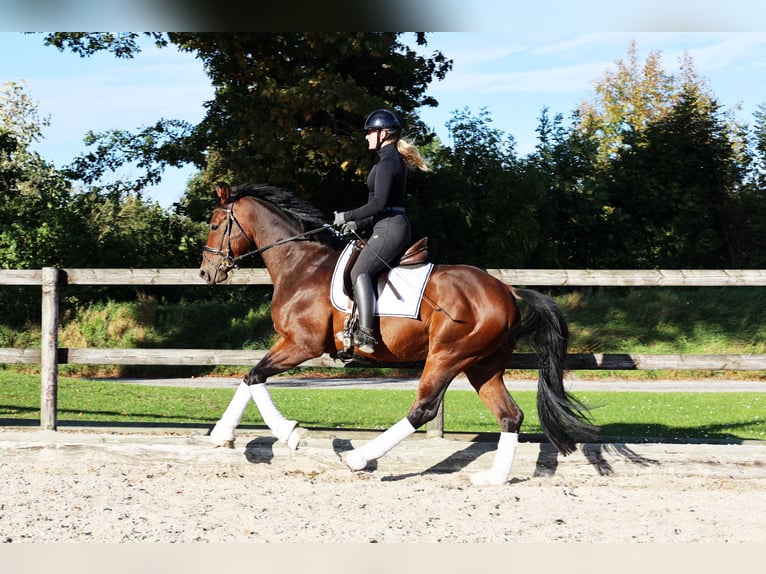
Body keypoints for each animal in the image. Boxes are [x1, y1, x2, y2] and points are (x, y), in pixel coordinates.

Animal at [200, 183, 600, 486]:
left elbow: (255, 376)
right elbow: (251, 377)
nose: (206, 272)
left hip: (447, 355)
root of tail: (505, 290)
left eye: (216, 224)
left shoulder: (302, 345)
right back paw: (493, 478)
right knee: (510, 415)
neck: (299, 264)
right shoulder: (294, 345)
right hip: (482, 365)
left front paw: (286, 433)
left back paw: (358, 458)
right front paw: (229, 434)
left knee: (424, 409)